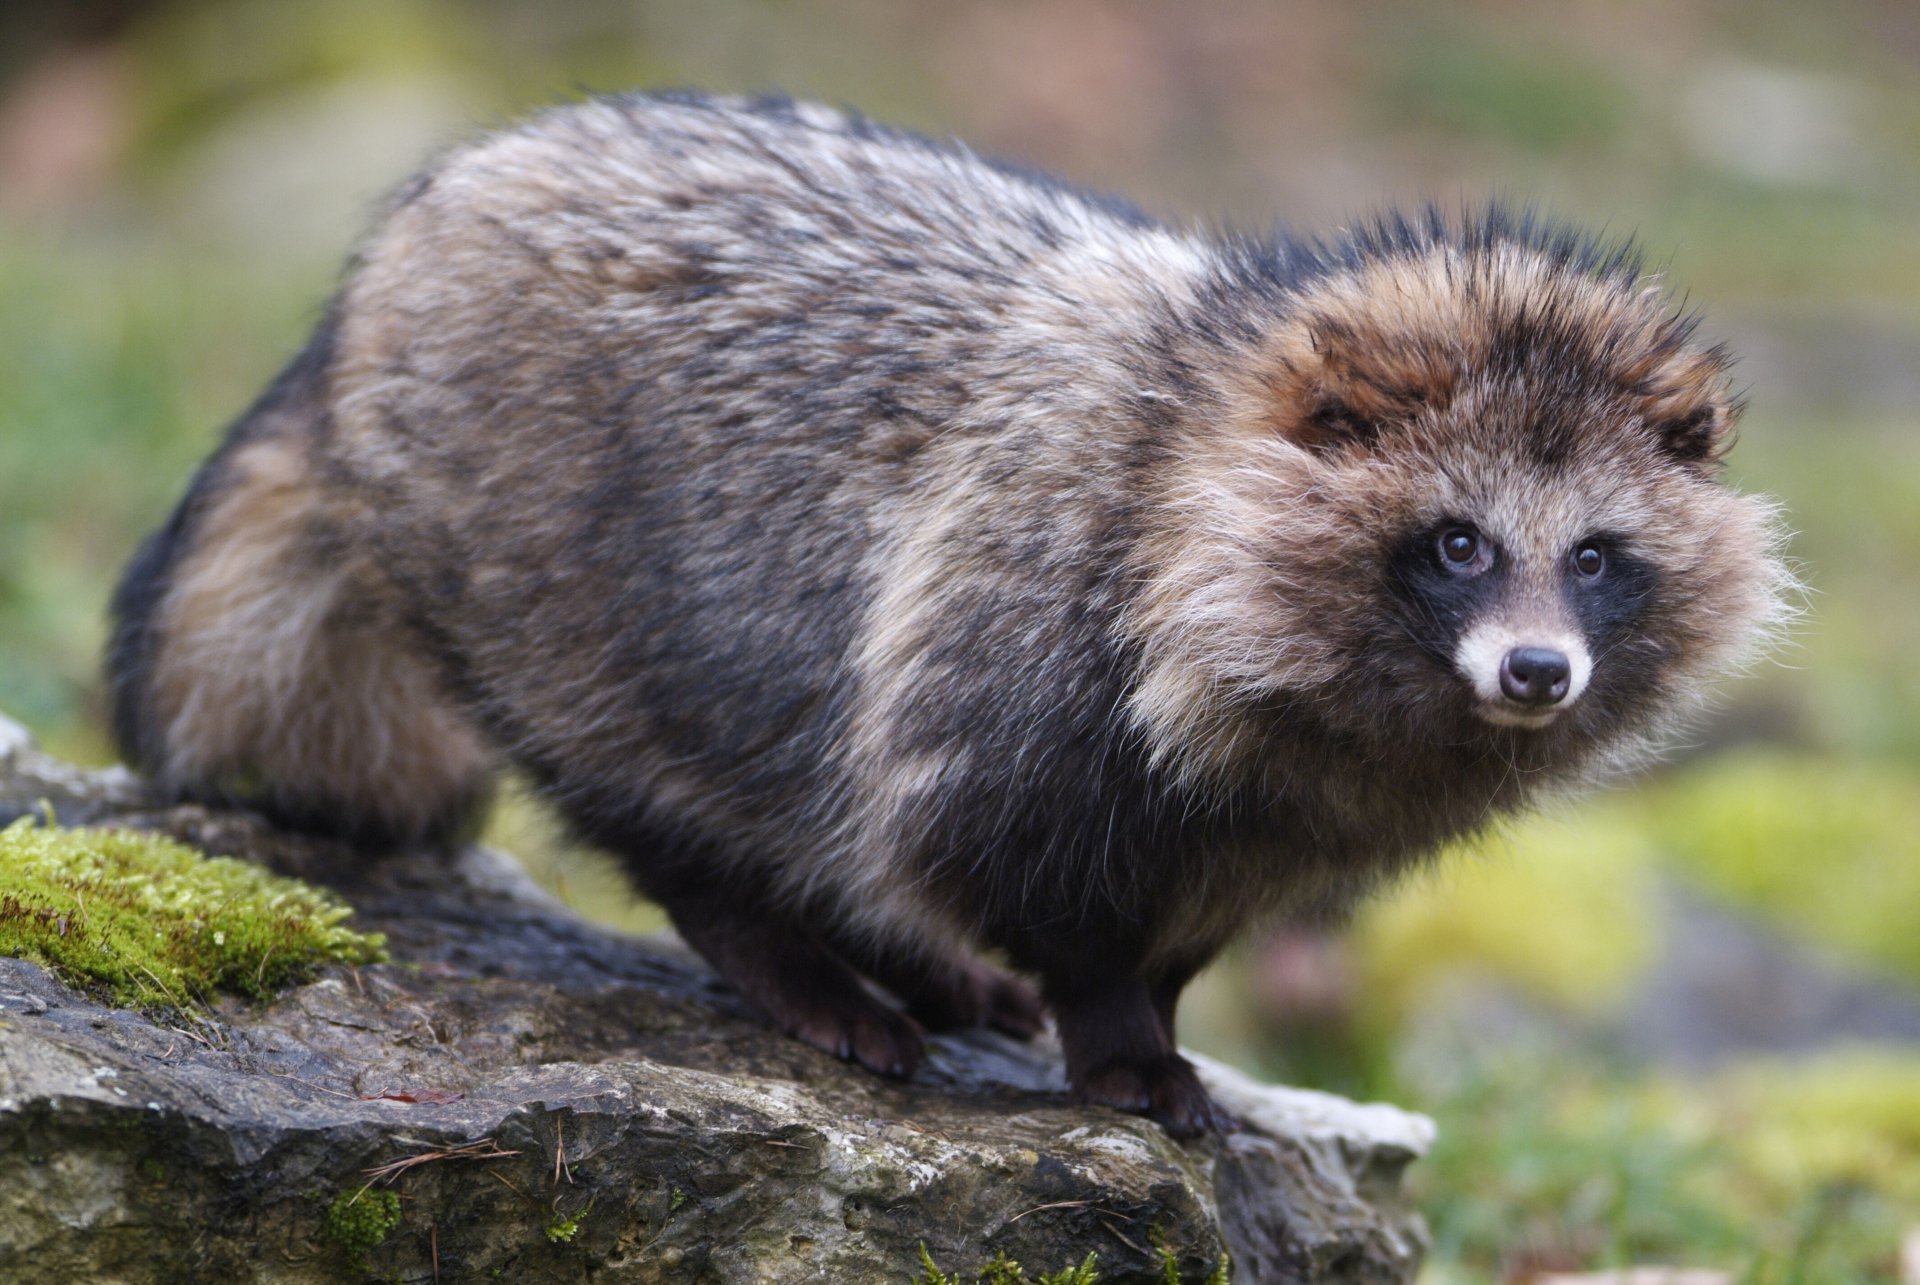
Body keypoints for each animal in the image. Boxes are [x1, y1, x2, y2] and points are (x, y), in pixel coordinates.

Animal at [107, 92, 1790, 1135]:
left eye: (1595, 557)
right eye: (1455, 543)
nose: (1536, 671)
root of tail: (378, 272)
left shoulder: (1291, 810)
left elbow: (1192, 910)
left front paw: (1155, 1006)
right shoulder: (1024, 633)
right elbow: (1024, 864)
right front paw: (1116, 1031)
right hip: (560, 563)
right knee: (692, 783)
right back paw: (794, 948)